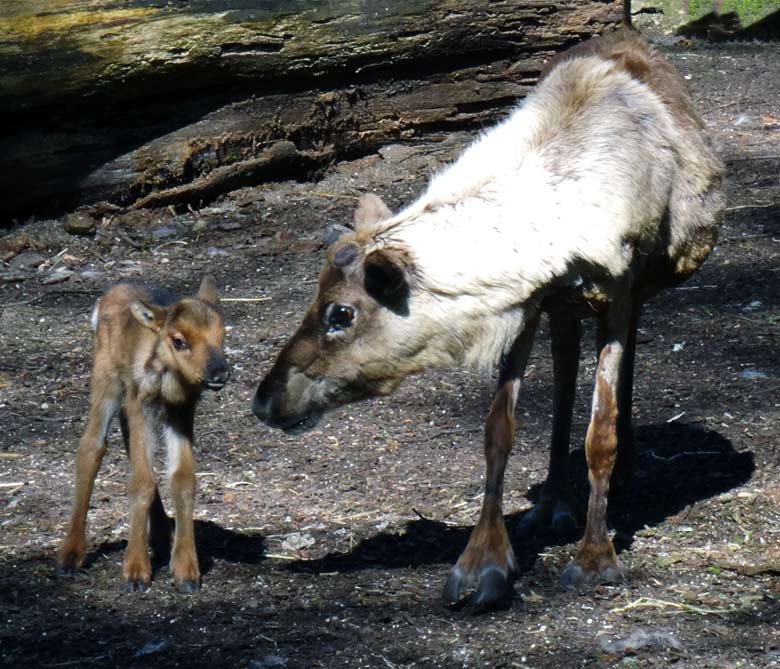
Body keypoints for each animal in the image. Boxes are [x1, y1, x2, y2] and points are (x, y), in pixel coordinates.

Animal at [58, 276, 229, 588]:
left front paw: (186, 569)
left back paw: (162, 537)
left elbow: (182, 478)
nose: (220, 373)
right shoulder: (140, 404)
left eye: (221, 335)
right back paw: (70, 555)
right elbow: (141, 482)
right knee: (91, 447)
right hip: (108, 384)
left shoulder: (181, 414)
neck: (168, 381)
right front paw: (136, 570)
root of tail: (105, 299)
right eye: (179, 340)